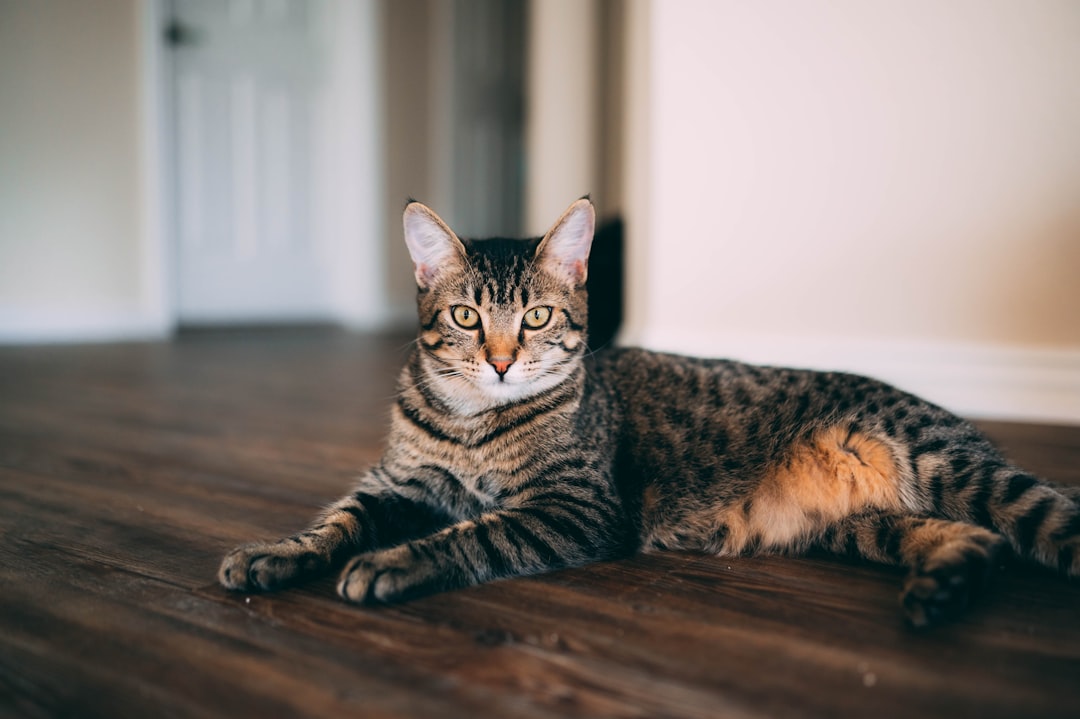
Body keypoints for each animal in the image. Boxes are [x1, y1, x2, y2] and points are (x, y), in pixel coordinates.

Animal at [221, 197, 1080, 626]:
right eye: (466, 317)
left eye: (537, 317)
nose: (500, 360)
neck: (471, 425)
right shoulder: (395, 485)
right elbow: (332, 521)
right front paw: (275, 553)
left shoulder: (575, 506)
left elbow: (474, 532)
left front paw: (395, 561)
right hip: (869, 523)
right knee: (974, 540)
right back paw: (941, 592)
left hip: (961, 471)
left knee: (1041, 522)